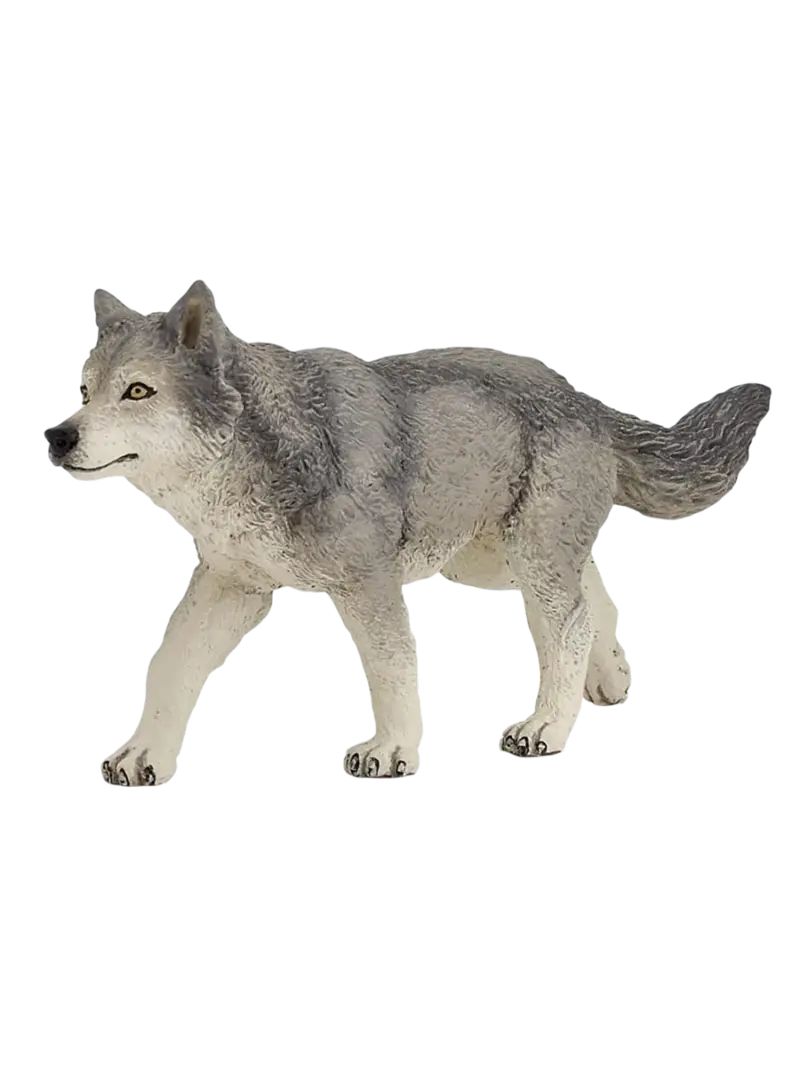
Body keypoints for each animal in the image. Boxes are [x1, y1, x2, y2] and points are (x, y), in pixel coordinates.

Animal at [45, 283, 771, 784]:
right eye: (83, 392)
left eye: (138, 392)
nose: (58, 437)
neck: (263, 451)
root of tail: (585, 399)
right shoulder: (234, 586)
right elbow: (170, 664)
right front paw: (142, 755)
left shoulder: (368, 583)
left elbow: (394, 670)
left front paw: (394, 751)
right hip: (493, 563)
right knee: (598, 595)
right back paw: (609, 685)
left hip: (523, 559)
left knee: (570, 625)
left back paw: (548, 726)